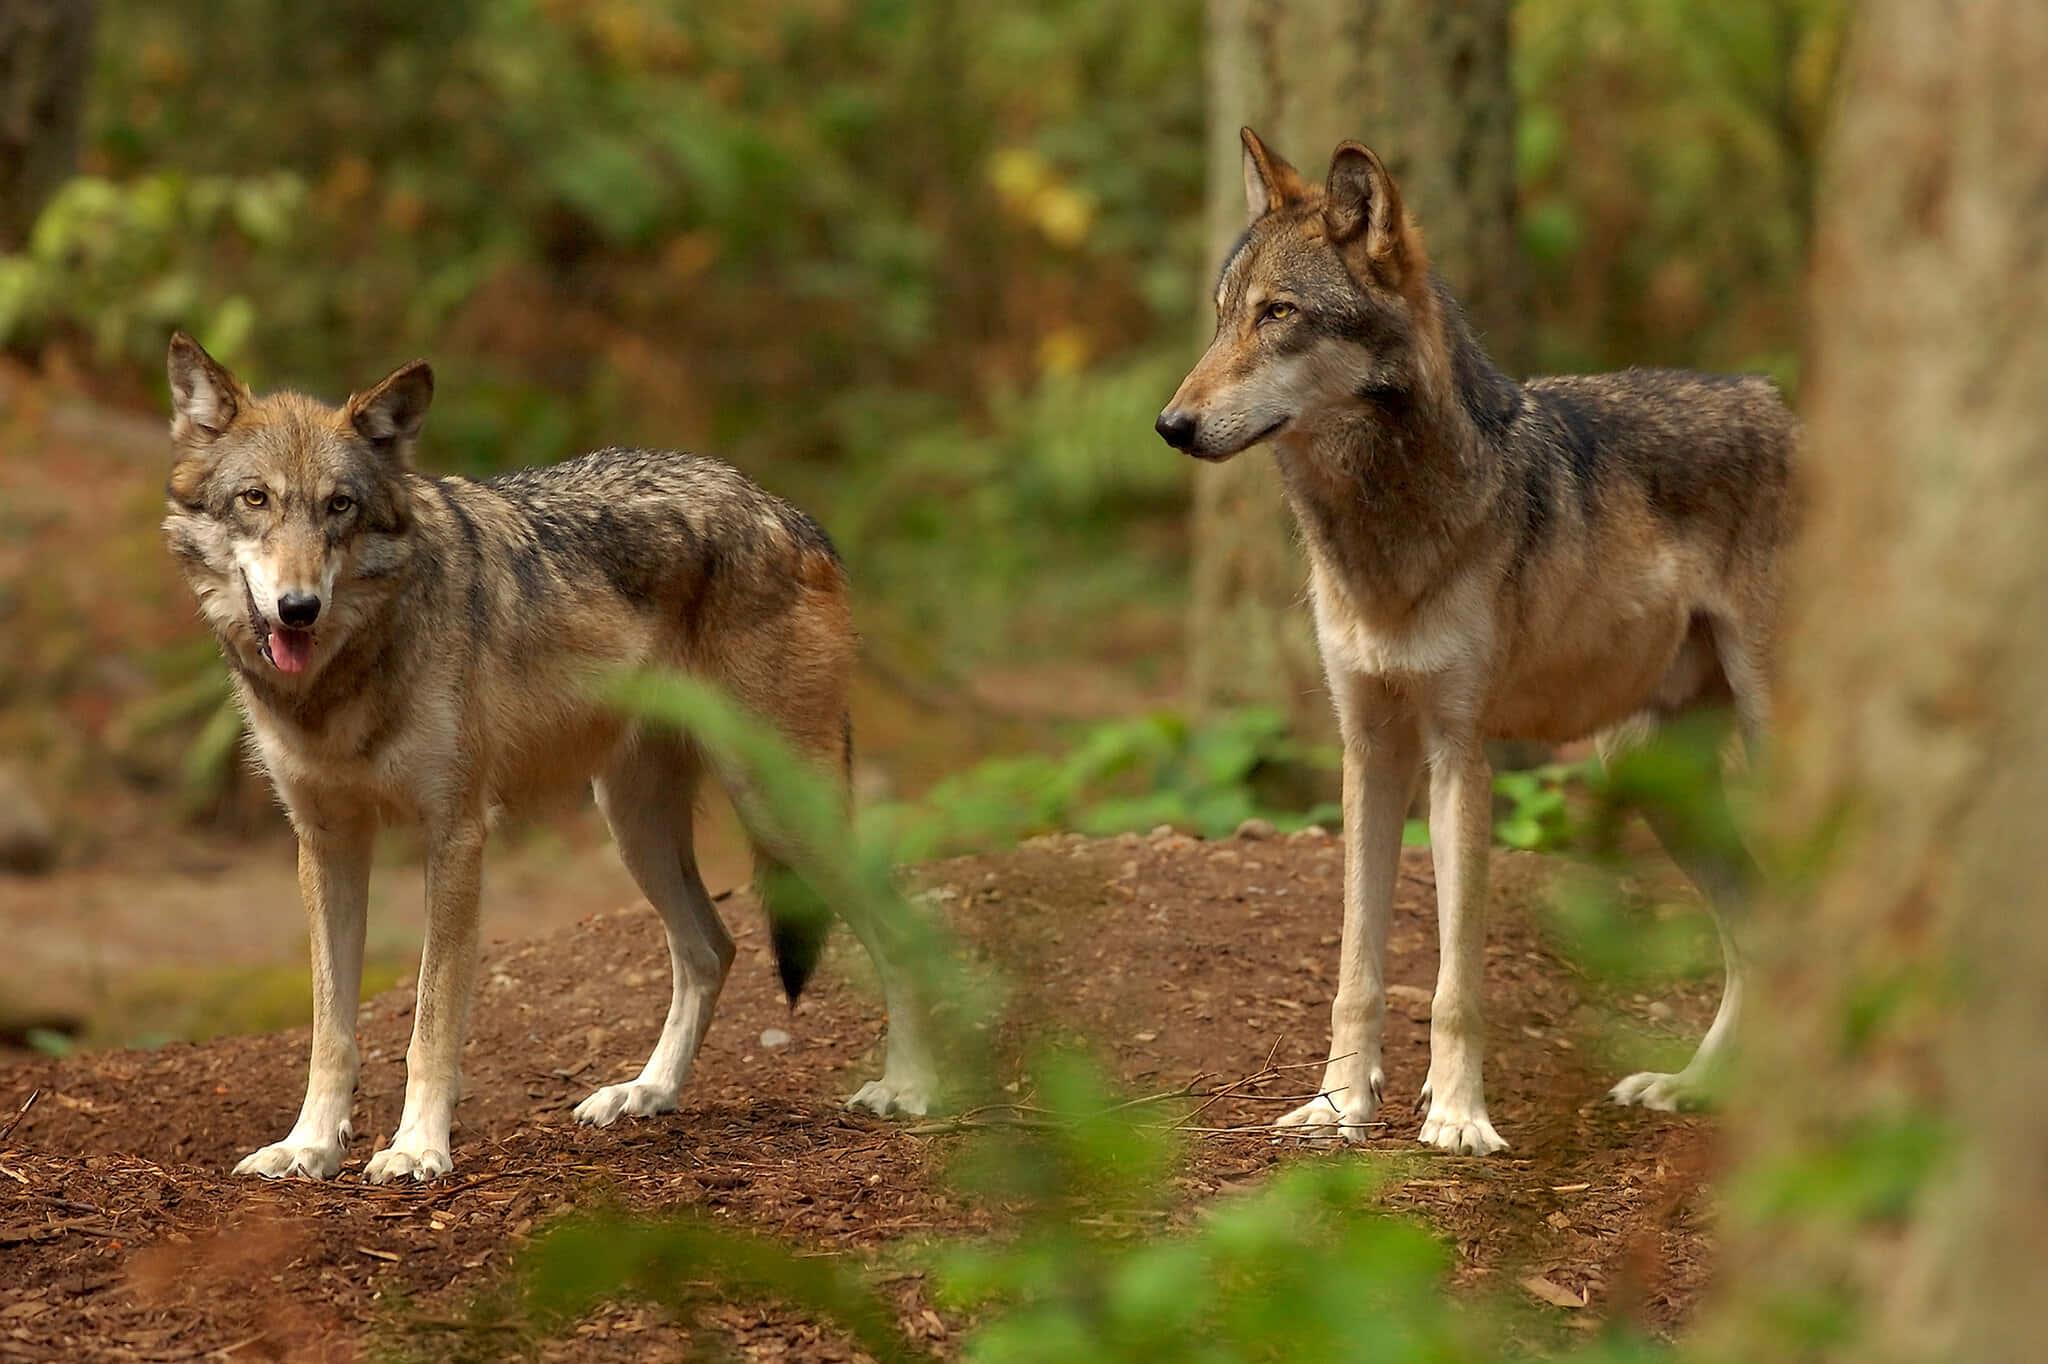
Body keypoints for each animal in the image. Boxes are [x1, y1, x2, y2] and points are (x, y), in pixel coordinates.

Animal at [161, 333, 938, 1183]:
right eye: (255, 500)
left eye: (341, 506)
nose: (298, 608)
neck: (346, 675)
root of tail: (789, 512)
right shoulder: (327, 842)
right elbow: (331, 1031)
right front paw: (308, 1145)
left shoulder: (458, 836)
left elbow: (431, 1024)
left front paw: (417, 1148)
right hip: (635, 824)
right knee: (712, 947)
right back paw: (647, 1093)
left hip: (775, 807)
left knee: (902, 924)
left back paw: (907, 1089)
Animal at [1156, 131, 1793, 1154]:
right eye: (1221, 318)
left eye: (1279, 314)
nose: (1170, 426)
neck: (1383, 533)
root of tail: (1787, 405)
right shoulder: (1369, 749)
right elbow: (1356, 971)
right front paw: (1338, 1106)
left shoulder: (1460, 751)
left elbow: (1456, 984)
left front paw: (1457, 1118)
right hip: (1648, 772)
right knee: (1760, 930)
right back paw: (1695, 1088)